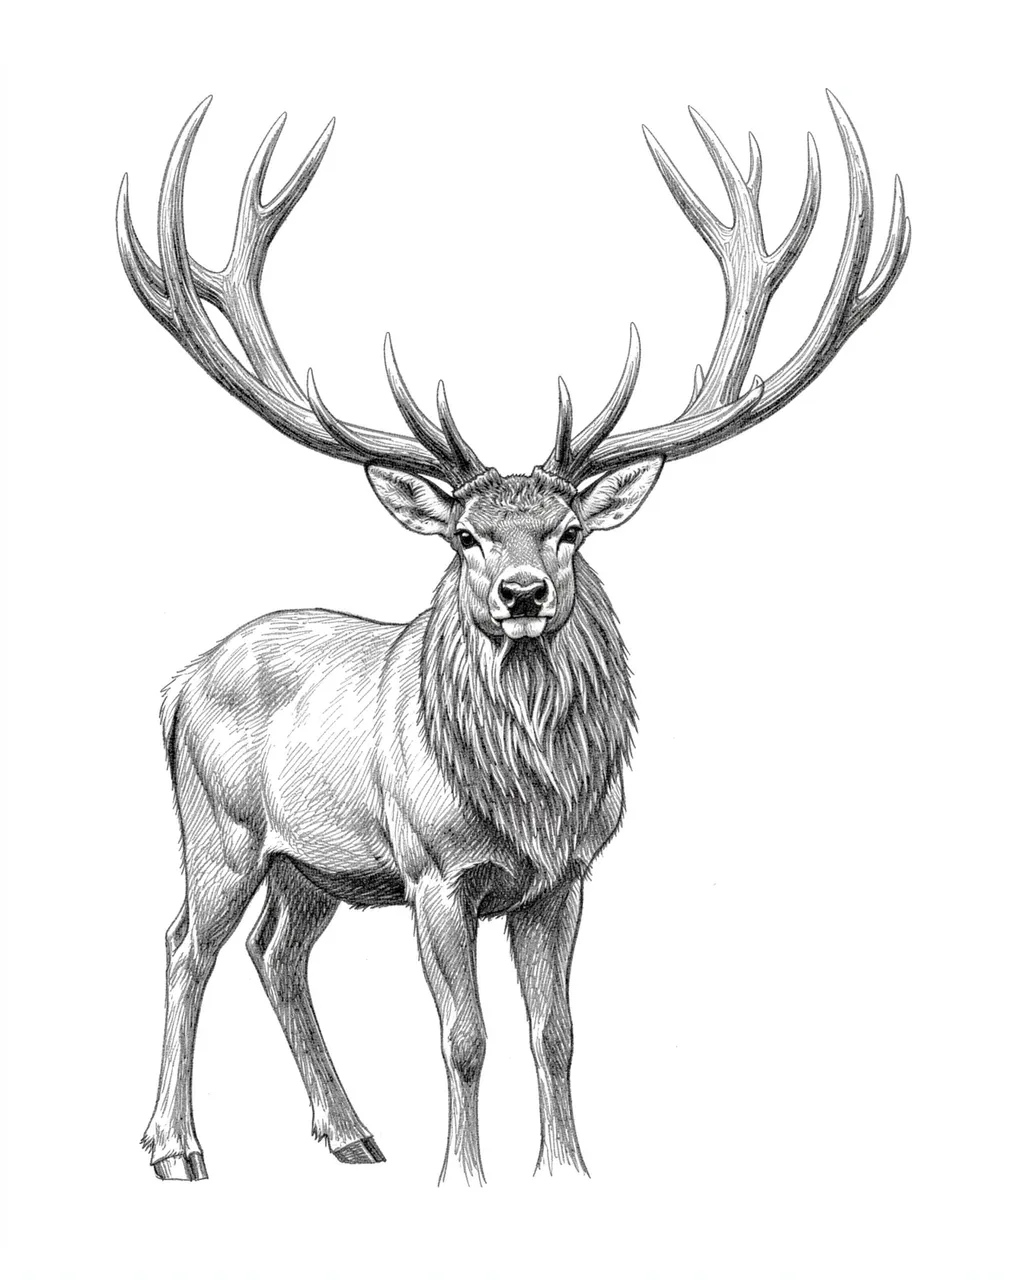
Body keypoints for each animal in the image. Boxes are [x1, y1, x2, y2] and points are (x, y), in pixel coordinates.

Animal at [117, 93, 909, 1185]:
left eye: (569, 530)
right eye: (465, 535)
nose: (523, 592)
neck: (531, 794)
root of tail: (179, 681)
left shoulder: (564, 875)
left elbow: (556, 1031)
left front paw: (564, 1172)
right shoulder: (431, 870)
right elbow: (464, 1035)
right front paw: (463, 1176)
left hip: (311, 866)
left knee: (274, 954)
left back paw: (352, 1133)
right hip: (221, 830)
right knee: (182, 946)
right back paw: (175, 1145)